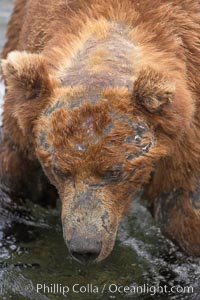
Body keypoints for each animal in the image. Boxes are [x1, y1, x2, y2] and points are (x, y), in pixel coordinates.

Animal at [0, 0, 200, 262]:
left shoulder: (184, 140)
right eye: (59, 170)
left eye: (115, 171)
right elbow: (17, 181)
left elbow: (180, 211)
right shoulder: (22, 129)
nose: (85, 247)